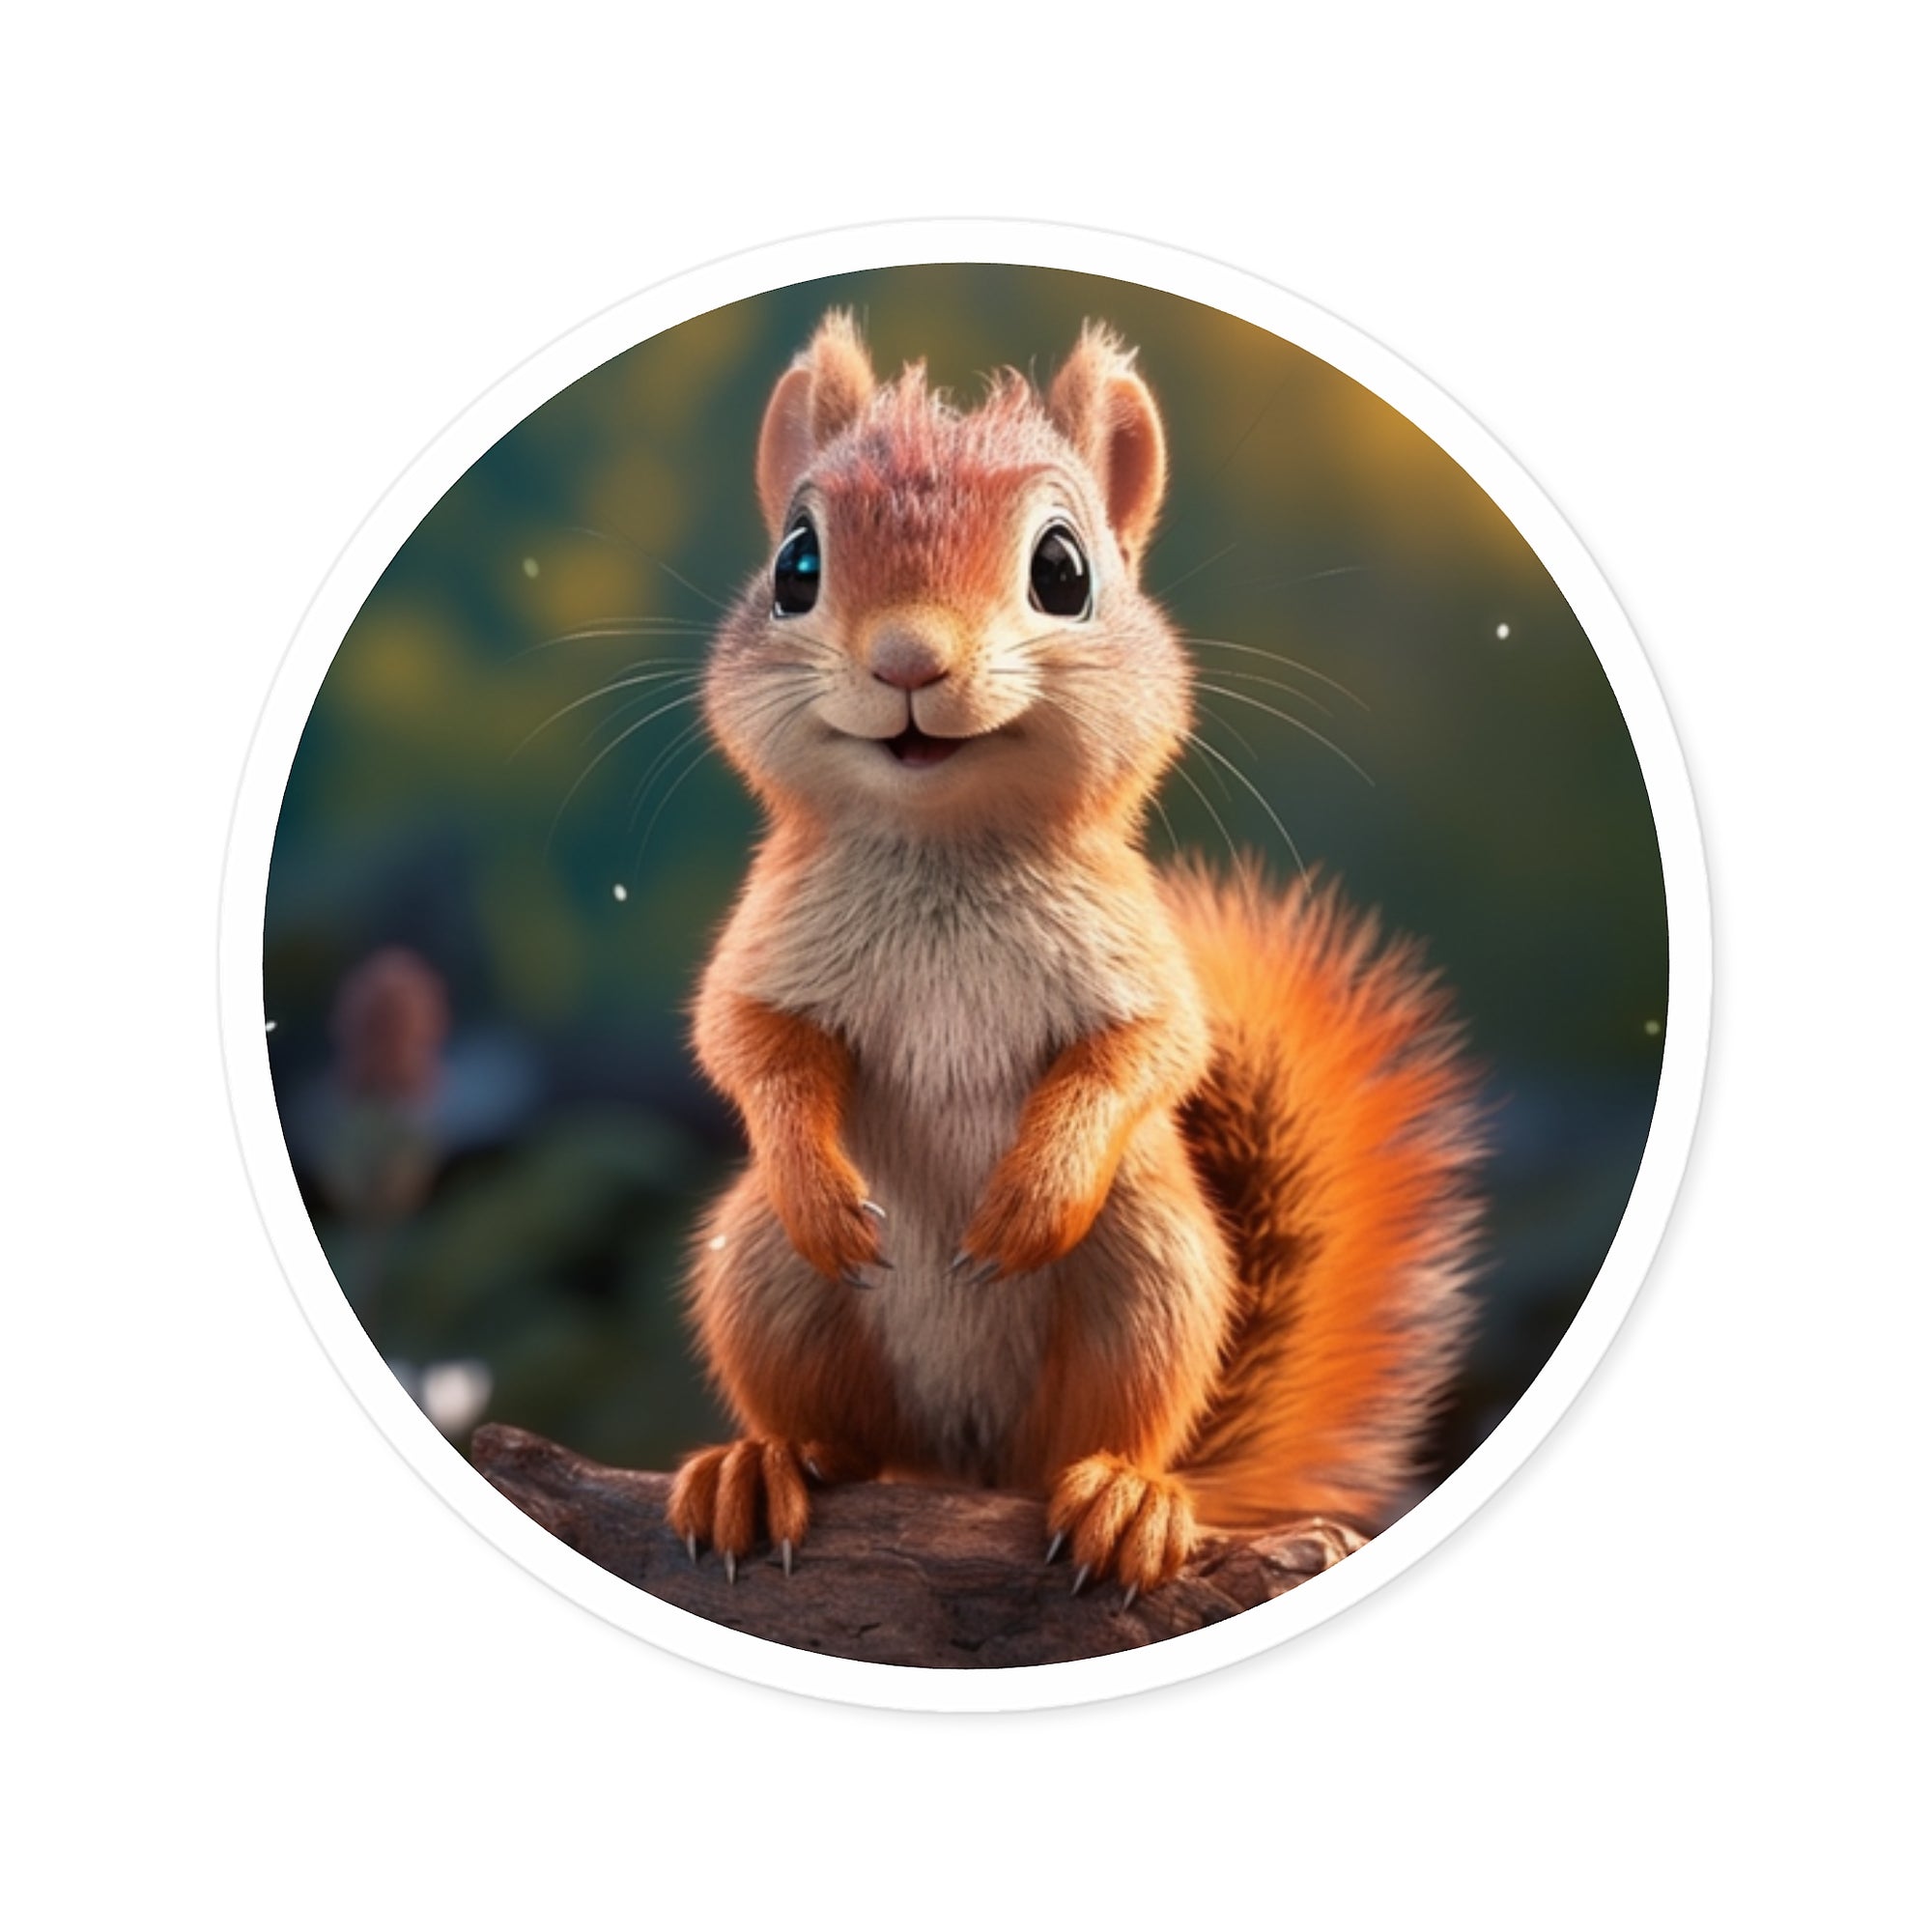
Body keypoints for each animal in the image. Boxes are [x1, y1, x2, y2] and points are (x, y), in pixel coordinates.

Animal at [664, 310, 1483, 1599]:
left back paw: (1125, 1495)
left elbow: (1147, 1053)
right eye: (795, 563)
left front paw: (1027, 1199)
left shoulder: (1136, 957)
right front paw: (820, 1185)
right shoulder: (763, 949)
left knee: (1105, 1430)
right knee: (838, 1436)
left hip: (1149, 1272)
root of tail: (963, 1464)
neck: (945, 850)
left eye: (1062, 569)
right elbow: (744, 1043)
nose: (907, 659)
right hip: (760, 1276)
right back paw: (762, 1463)